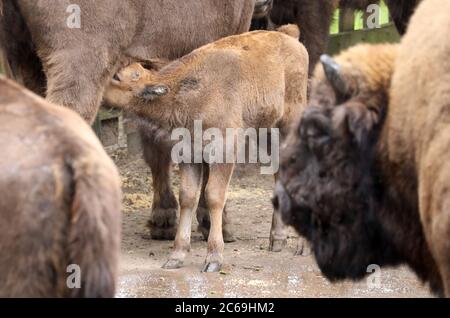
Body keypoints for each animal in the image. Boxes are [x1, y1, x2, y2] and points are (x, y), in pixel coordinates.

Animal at [105, 25, 310, 274]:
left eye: (117, 76)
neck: (185, 90)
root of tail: (288, 36)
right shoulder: (188, 154)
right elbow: (187, 197)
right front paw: (176, 255)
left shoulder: (224, 151)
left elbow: (213, 196)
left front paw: (214, 257)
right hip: (269, 132)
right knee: (280, 171)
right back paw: (277, 240)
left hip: (290, 124)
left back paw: (302, 246)